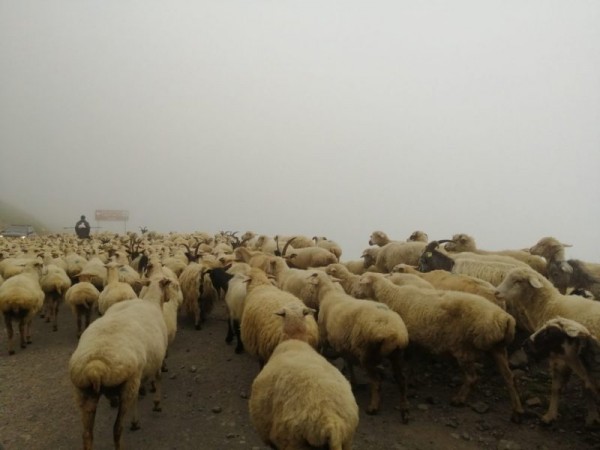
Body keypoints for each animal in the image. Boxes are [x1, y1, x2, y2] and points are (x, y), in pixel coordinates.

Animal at [67, 276, 171, 448]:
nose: (169, 298)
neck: (152, 301)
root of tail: (95, 367)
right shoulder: (156, 361)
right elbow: (158, 379)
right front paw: (156, 404)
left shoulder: (140, 374)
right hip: (126, 386)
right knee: (117, 429)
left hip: (83, 393)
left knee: (87, 434)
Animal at [314, 270, 408, 418]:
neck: (329, 294)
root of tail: (396, 334)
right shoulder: (344, 345)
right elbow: (348, 363)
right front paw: (353, 381)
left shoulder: (325, 335)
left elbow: (324, 350)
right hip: (397, 355)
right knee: (402, 380)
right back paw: (404, 407)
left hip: (367, 354)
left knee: (377, 382)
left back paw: (373, 406)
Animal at [356, 272, 524, 424]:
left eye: (361, 281)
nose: (355, 293)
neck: (392, 295)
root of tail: (506, 318)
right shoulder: (415, 341)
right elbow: (413, 363)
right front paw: (412, 380)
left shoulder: (407, 341)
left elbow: (409, 364)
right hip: (497, 349)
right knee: (509, 378)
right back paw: (517, 412)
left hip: (463, 348)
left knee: (472, 377)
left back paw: (458, 399)